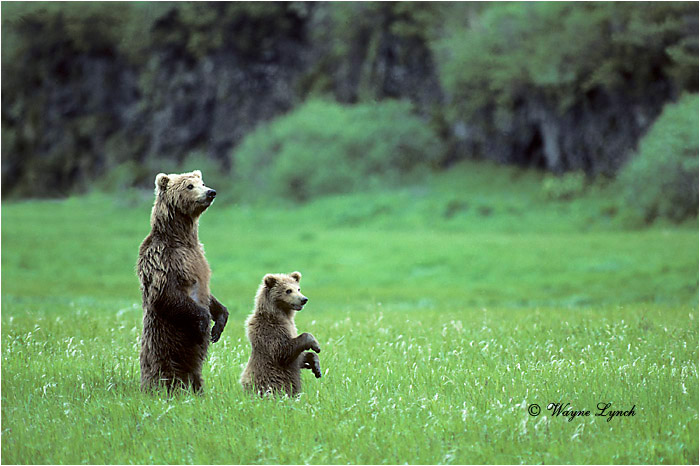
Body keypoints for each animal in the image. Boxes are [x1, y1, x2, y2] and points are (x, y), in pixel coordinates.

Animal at [137, 170, 229, 393]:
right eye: (189, 186)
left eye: (202, 183)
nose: (211, 192)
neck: (182, 238)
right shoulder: (163, 259)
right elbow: (165, 293)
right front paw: (205, 324)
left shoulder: (198, 256)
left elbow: (210, 295)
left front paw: (218, 324)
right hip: (165, 340)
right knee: (163, 366)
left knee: (194, 371)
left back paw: (198, 390)